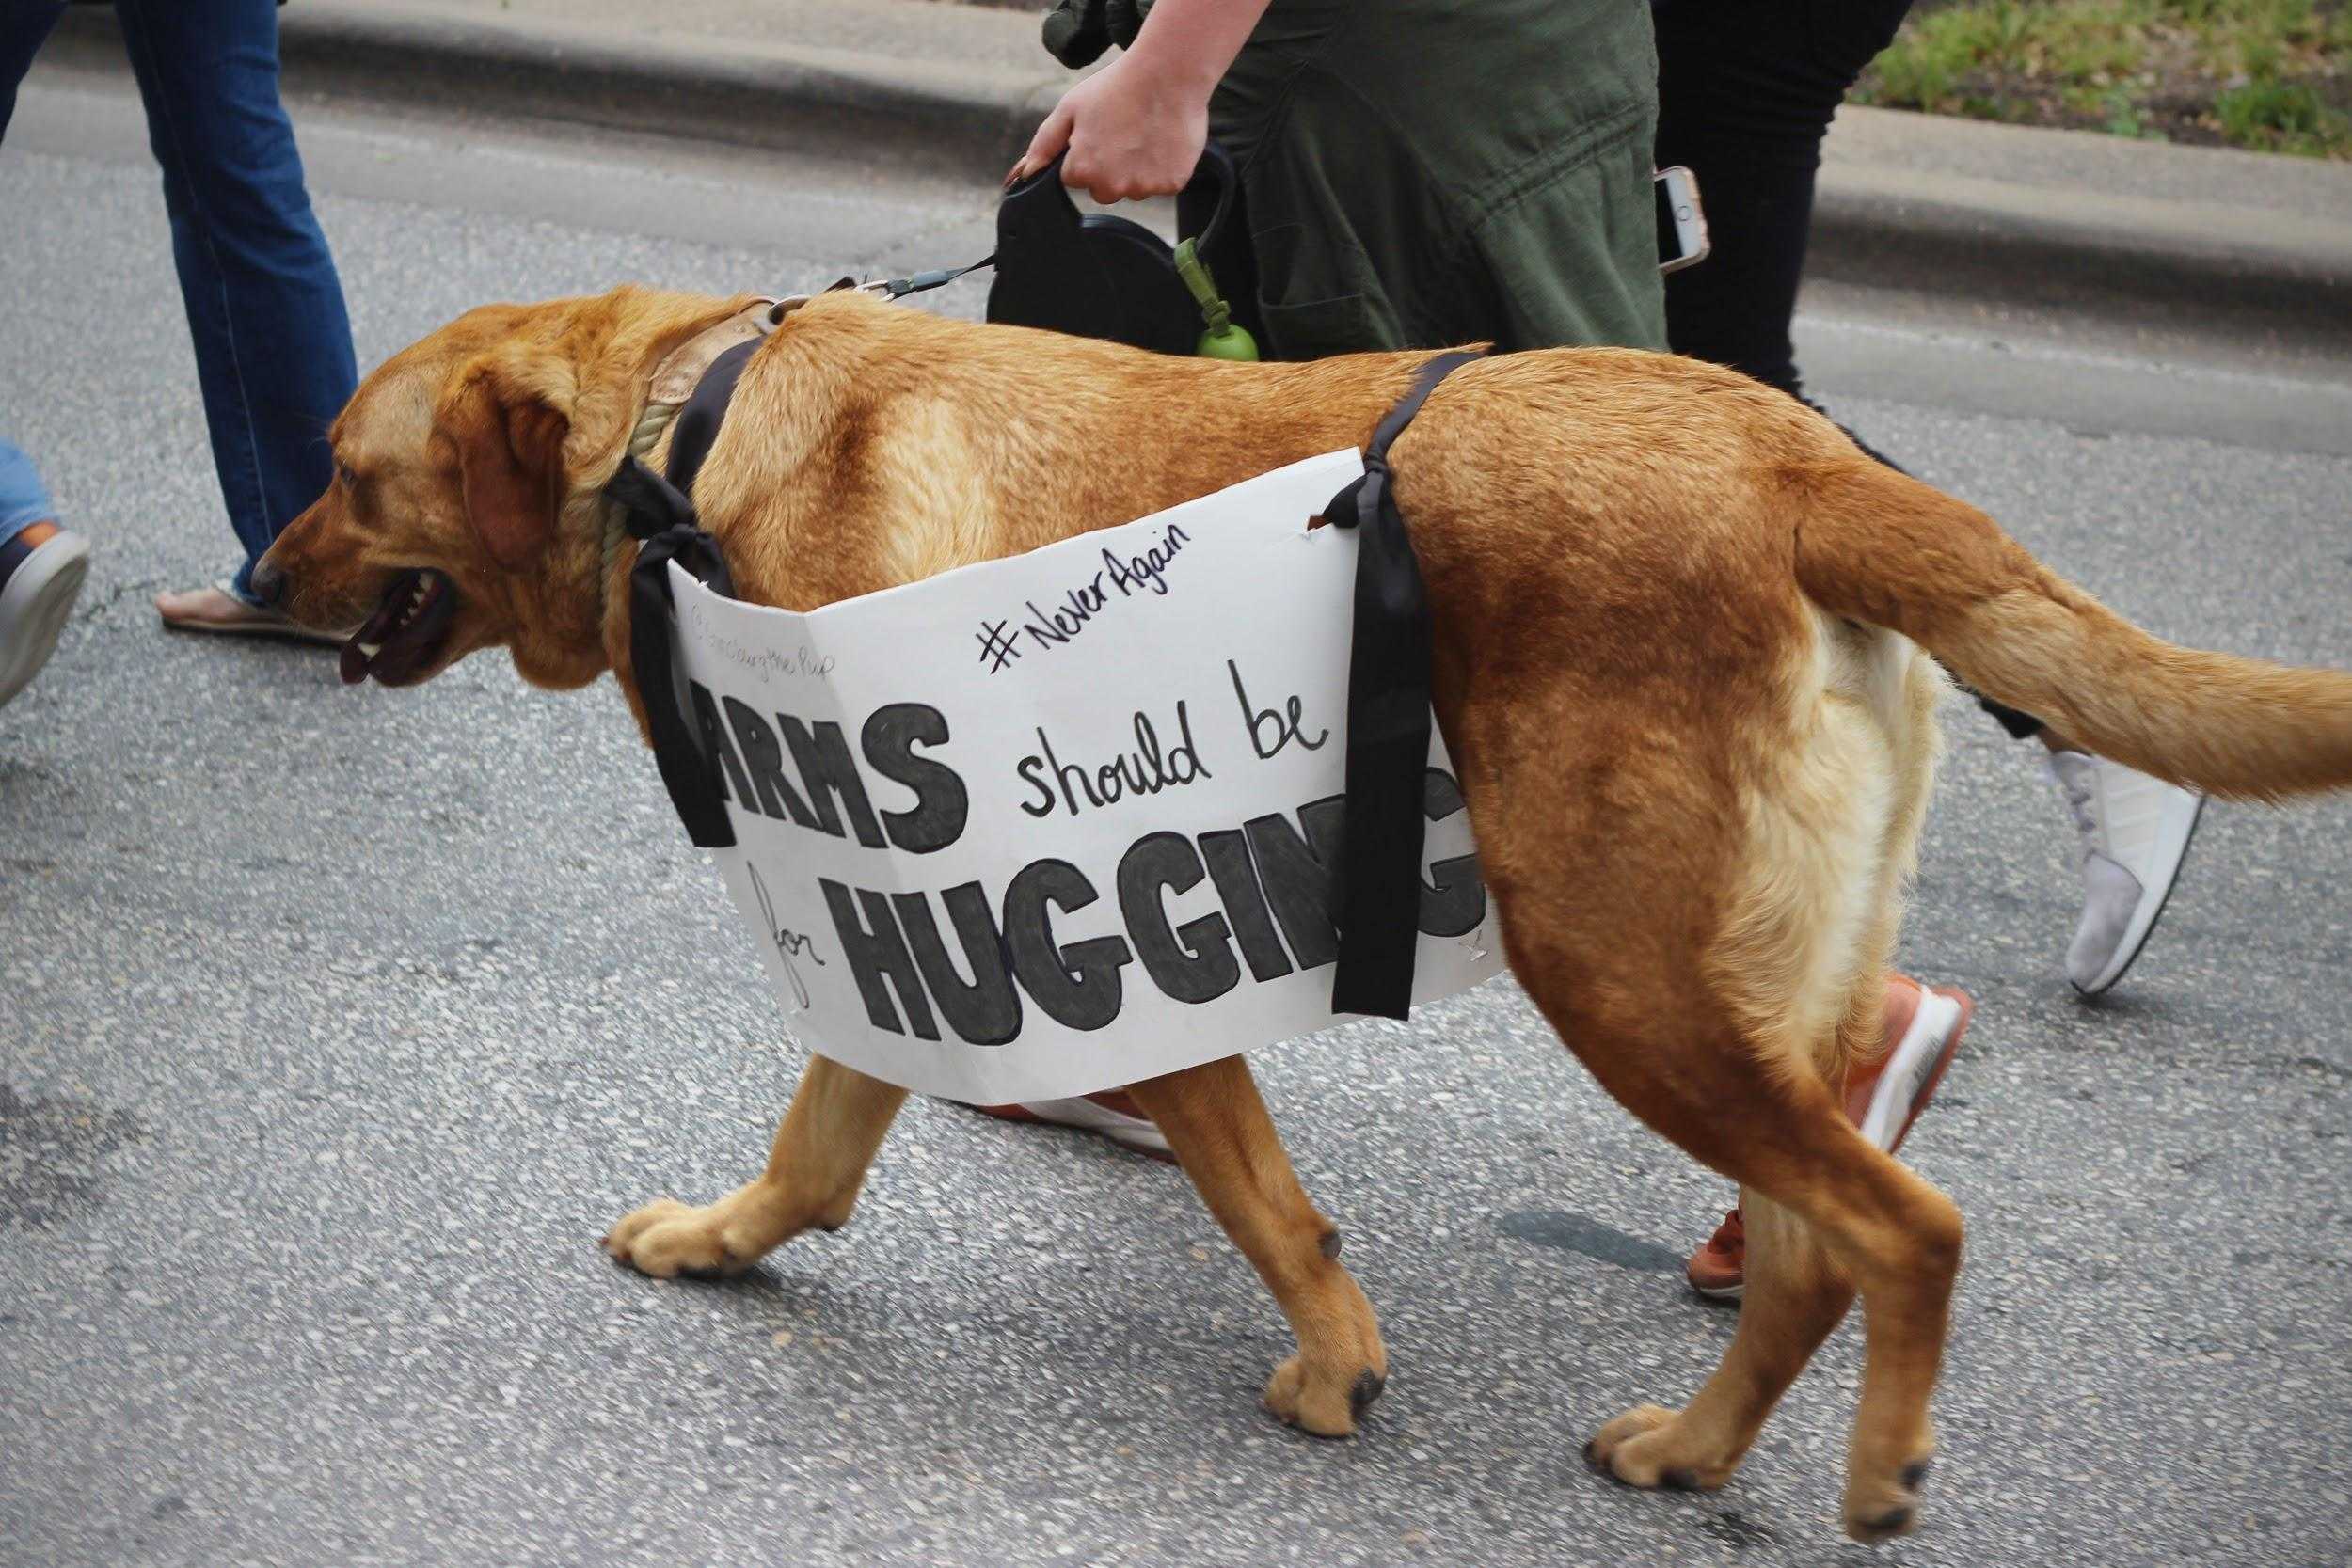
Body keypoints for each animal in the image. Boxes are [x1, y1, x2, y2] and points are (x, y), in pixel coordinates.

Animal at [257, 288, 2352, 1542]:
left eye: (346, 471)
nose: (258, 577)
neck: (677, 448)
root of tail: (1808, 460)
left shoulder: (1045, 937)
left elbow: (1255, 1196)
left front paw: (1333, 1362)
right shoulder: (916, 944)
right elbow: (821, 1145)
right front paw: (722, 1237)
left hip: (1617, 969)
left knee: (1900, 1228)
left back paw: (1869, 1465)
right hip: (1732, 982)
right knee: (1811, 1243)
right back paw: (1689, 1448)